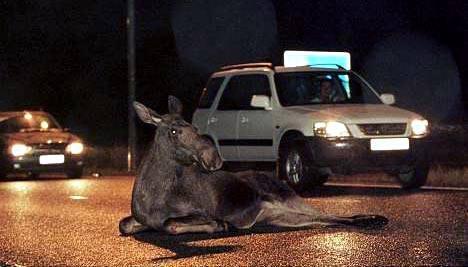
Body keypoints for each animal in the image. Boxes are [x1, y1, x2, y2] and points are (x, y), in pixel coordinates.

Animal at [119, 97, 390, 236]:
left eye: (194, 128)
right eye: (174, 131)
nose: (214, 158)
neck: (152, 197)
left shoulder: (200, 211)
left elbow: (170, 224)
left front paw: (219, 224)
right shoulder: (138, 219)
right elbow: (125, 224)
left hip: (288, 198)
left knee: (328, 213)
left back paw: (375, 219)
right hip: (280, 217)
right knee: (321, 219)